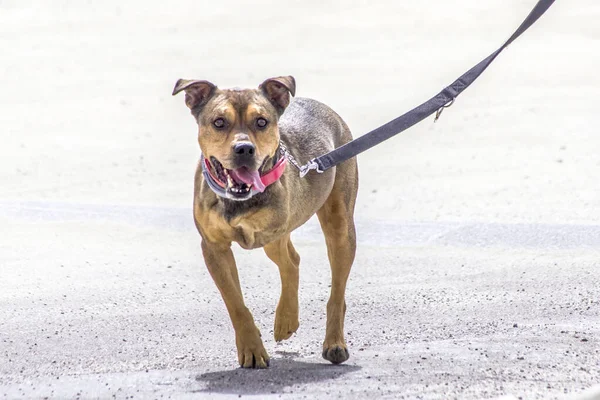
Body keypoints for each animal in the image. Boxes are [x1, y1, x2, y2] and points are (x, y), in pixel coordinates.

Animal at [173, 76, 358, 368]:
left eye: (261, 122)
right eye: (218, 122)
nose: (244, 148)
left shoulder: (272, 228)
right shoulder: (214, 247)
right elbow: (235, 303)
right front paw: (251, 348)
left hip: (339, 227)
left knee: (335, 292)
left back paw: (333, 343)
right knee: (292, 262)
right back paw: (286, 320)